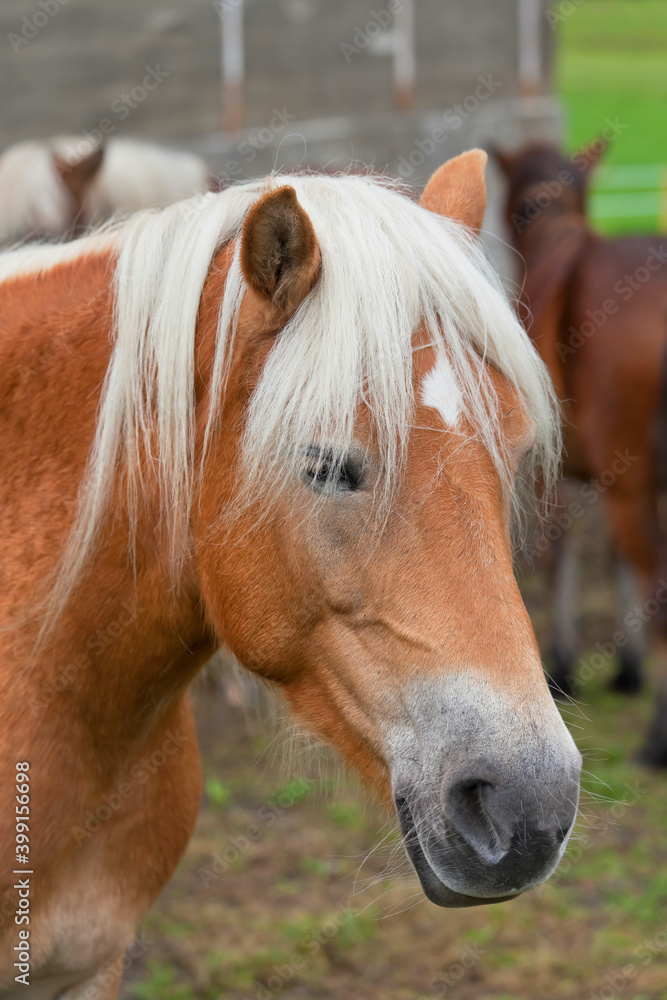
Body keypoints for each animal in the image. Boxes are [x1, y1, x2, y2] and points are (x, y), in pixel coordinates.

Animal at [494, 141, 667, 765]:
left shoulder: (554, 471)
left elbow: (559, 548)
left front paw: (564, 667)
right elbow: (615, 559)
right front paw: (628, 666)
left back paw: (658, 738)